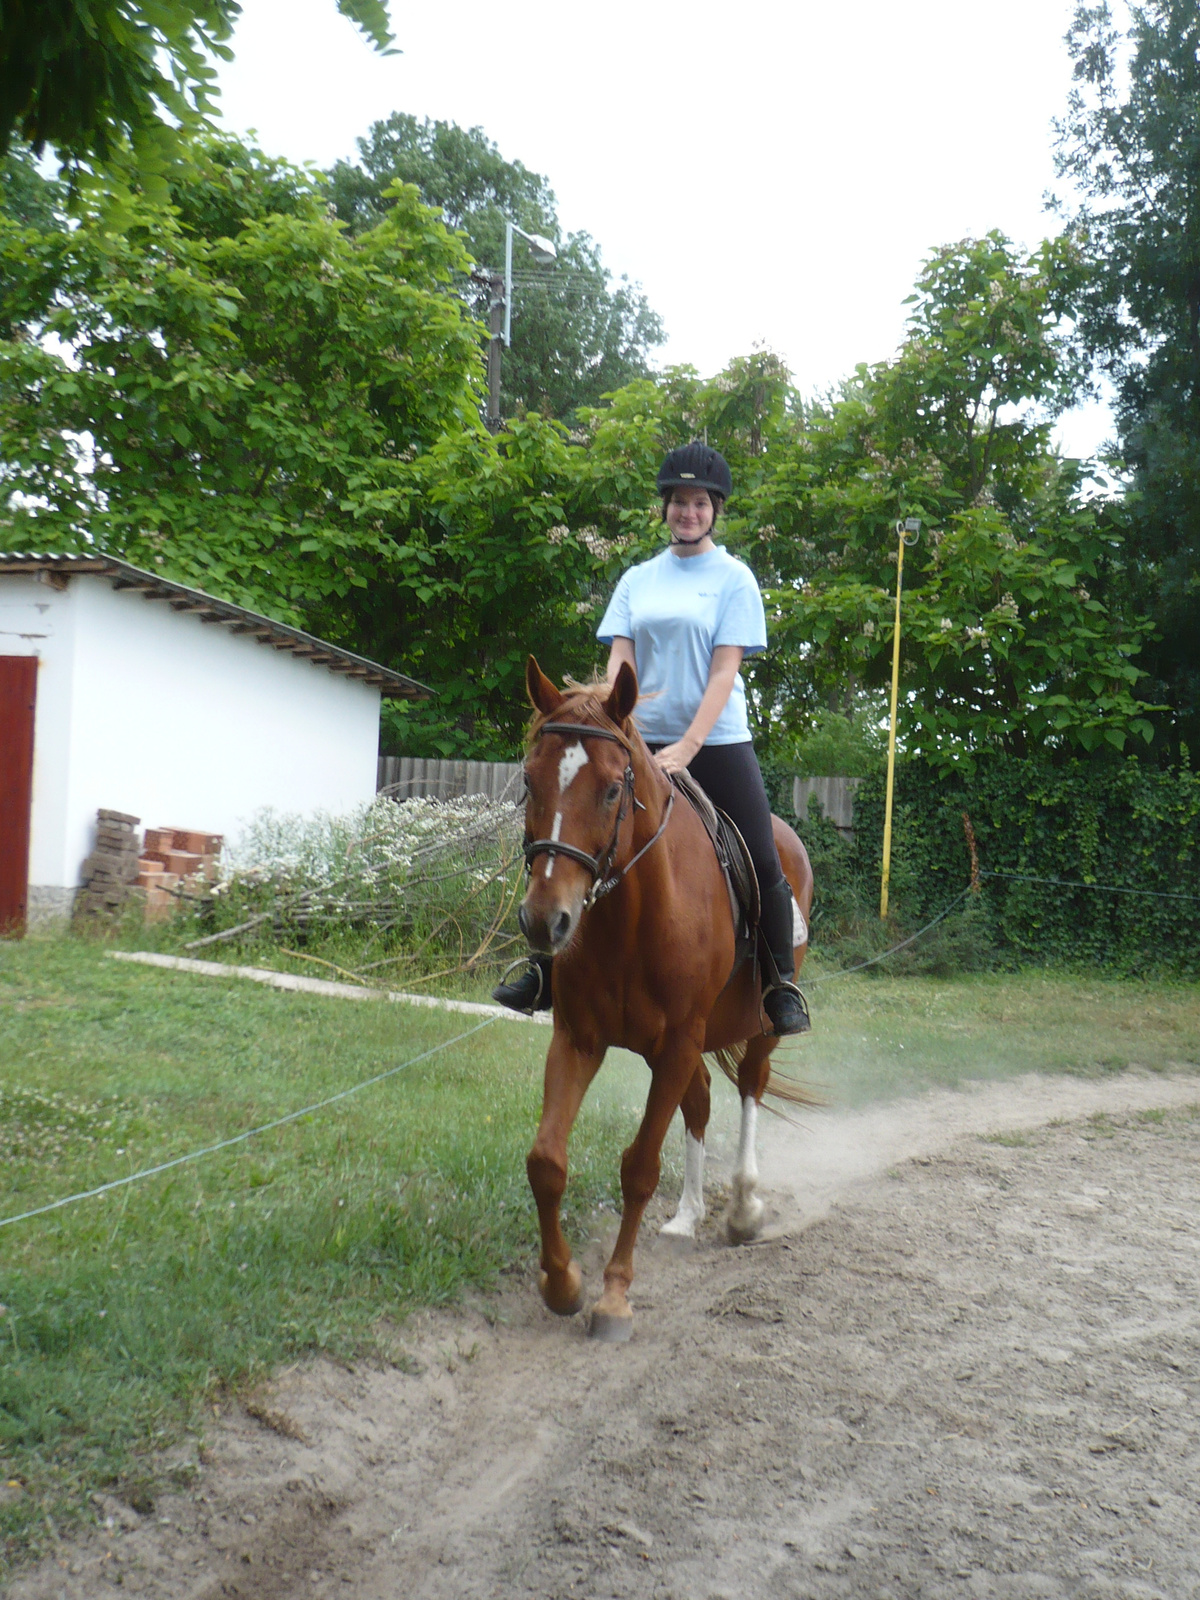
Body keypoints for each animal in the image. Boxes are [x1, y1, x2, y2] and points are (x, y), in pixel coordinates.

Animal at [518, 656, 819, 1344]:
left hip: (757, 1028)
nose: (546, 922)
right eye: (528, 780)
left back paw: (742, 1206)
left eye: (610, 790)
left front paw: (613, 1299)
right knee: (702, 1101)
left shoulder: (680, 1040)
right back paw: (687, 1215)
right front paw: (562, 1284)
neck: (632, 915)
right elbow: (546, 1161)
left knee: (750, 1087)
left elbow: (639, 1169)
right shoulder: (579, 1039)